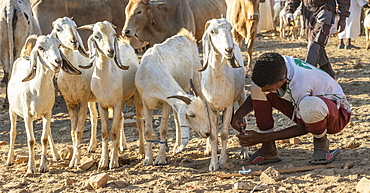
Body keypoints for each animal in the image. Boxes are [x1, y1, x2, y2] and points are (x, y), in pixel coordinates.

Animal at [5, 34, 81, 173]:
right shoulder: (27, 116)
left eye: (58, 45)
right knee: (13, 132)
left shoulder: (47, 113)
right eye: (40, 47)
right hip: (12, 110)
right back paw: (9, 160)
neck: (36, 90)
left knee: (48, 132)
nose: (58, 61)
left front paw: (43, 166)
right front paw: (31, 168)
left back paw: (56, 155)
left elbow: (44, 139)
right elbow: (30, 140)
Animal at [50, 17, 100, 167]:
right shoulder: (70, 103)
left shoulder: (82, 102)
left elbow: (78, 132)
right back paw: (91, 147)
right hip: (92, 101)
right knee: (94, 117)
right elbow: (73, 132)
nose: (74, 41)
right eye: (58, 29)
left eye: (74, 26)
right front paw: (73, 160)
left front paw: (75, 161)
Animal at [78, 20, 145, 170]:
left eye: (113, 34)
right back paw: (121, 147)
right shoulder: (103, 105)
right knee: (121, 120)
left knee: (139, 122)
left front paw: (113, 162)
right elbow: (105, 132)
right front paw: (103, 162)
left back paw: (142, 152)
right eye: (96, 36)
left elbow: (113, 132)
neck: (105, 80)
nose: (111, 51)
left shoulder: (117, 103)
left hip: (136, 99)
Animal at [135, 28, 211, 166]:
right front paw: (148, 159)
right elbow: (148, 131)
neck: (152, 72)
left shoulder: (166, 102)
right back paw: (176, 147)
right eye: (191, 115)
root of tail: (185, 35)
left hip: (197, 77)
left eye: (204, 111)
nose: (207, 132)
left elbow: (163, 129)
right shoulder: (146, 102)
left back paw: (208, 148)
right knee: (176, 119)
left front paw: (160, 158)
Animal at [198, 18, 247, 171]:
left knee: (244, 122)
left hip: (242, 96)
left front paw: (223, 161)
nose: (228, 50)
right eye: (212, 31)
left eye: (230, 28)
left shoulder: (228, 106)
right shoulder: (211, 107)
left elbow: (224, 133)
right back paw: (208, 149)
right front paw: (213, 164)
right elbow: (213, 134)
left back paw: (244, 153)